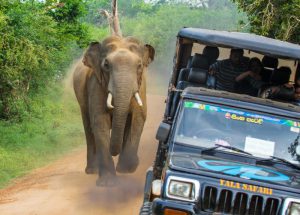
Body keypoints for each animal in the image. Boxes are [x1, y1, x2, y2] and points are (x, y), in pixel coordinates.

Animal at [72, 36, 155, 186]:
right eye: (106, 65)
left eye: (139, 65)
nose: (114, 152)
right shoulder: (95, 84)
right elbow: (99, 121)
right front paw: (107, 183)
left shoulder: (141, 87)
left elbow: (138, 118)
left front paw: (127, 169)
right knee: (88, 127)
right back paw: (92, 170)